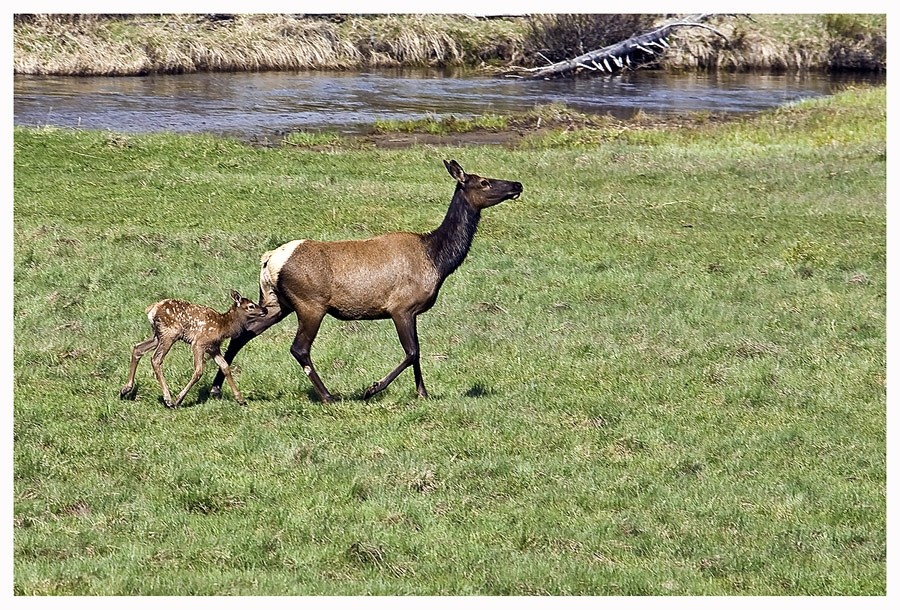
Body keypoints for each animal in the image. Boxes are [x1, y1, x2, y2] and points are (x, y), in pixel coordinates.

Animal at [121, 288, 268, 406]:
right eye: (251, 306)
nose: (265, 309)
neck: (223, 327)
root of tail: (151, 310)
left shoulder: (213, 347)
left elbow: (225, 367)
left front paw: (240, 399)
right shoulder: (199, 342)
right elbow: (199, 371)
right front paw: (178, 399)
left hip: (158, 335)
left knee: (138, 348)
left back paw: (125, 390)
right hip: (170, 333)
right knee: (156, 359)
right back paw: (168, 398)